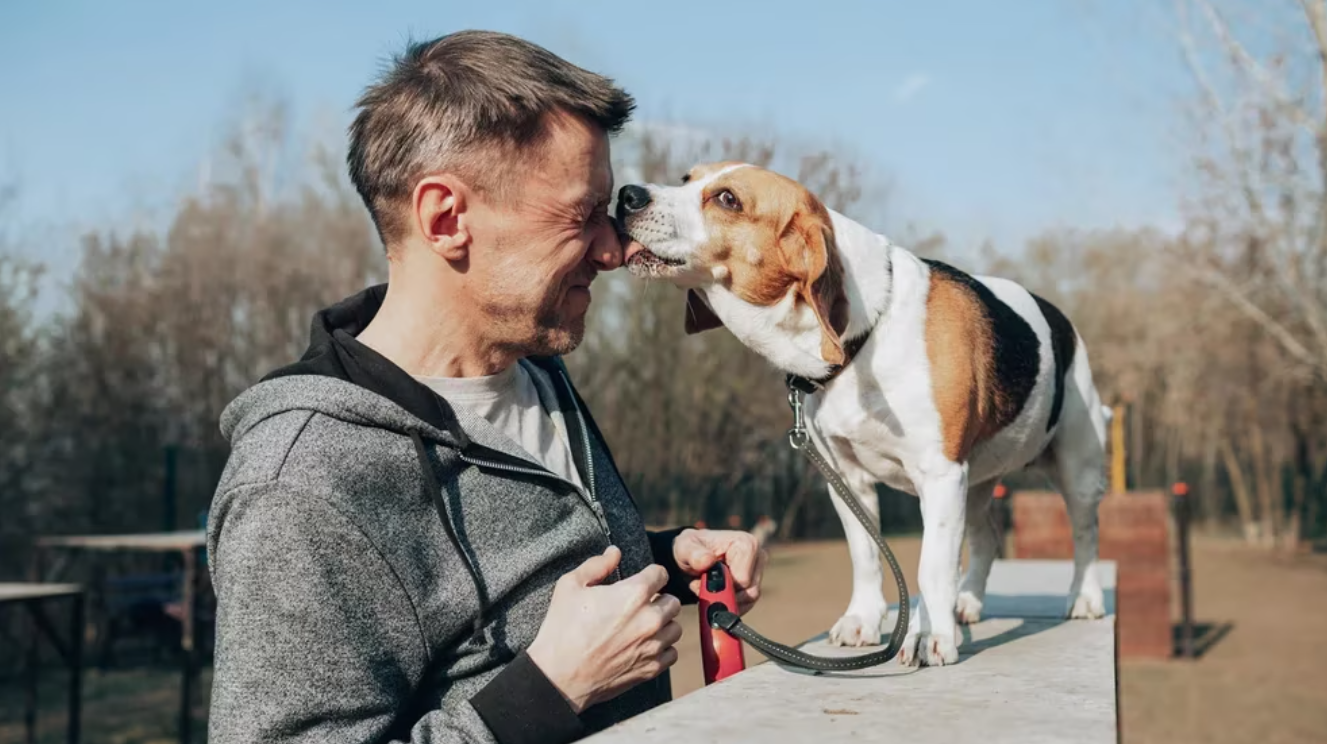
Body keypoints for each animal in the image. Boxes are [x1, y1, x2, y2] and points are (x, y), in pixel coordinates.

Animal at [618, 162, 1109, 668]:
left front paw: (931, 635)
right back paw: (967, 602)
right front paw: (864, 621)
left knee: (1086, 533)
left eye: (727, 199)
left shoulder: (939, 475)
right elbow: (866, 556)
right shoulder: (847, 477)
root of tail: (1062, 320)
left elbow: (932, 567)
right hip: (976, 482)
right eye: (686, 178)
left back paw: (1083, 598)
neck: (866, 334)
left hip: (1075, 467)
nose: (627, 195)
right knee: (987, 538)